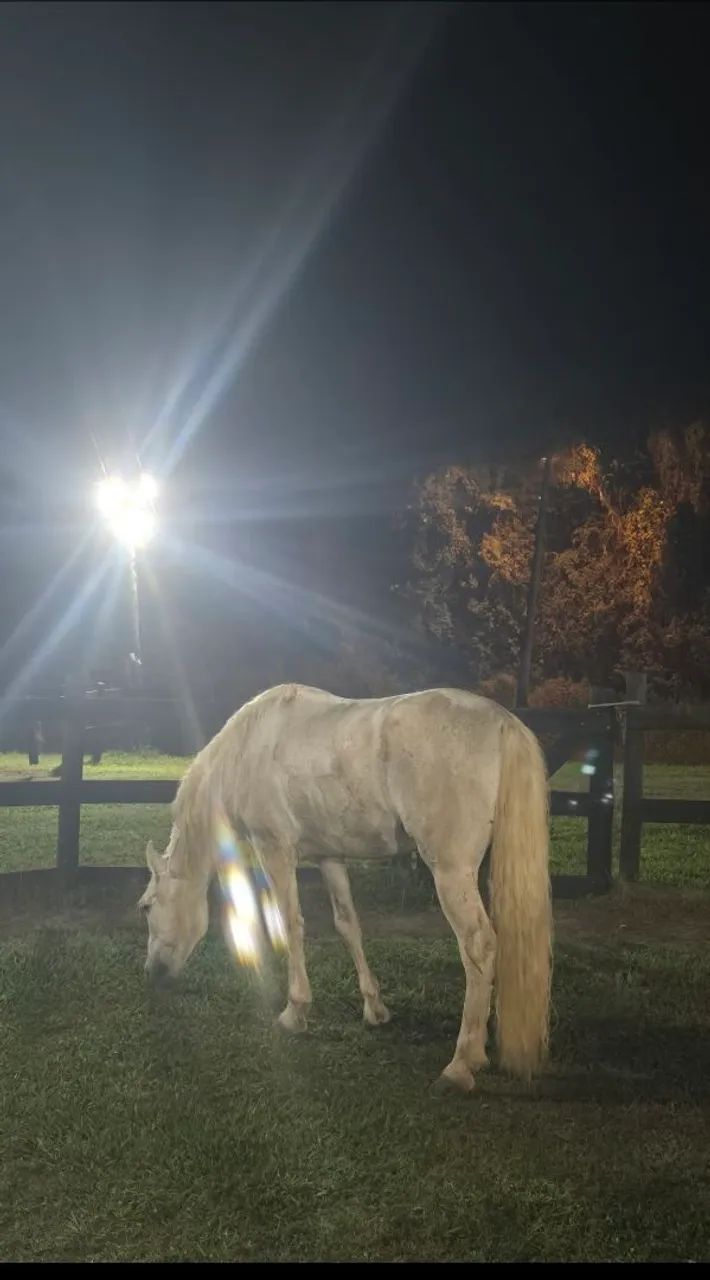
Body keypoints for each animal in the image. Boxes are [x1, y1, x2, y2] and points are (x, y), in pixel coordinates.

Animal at [138, 683, 552, 1092]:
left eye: (147, 906)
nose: (153, 972)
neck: (248, 749)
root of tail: (502, 721)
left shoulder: (274, 849)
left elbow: (290, 924)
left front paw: (295, 1012)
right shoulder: (330, 857)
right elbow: (348, 925)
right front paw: (375, 1008)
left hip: (452, 871)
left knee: (478, 946)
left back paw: (461, 1064)